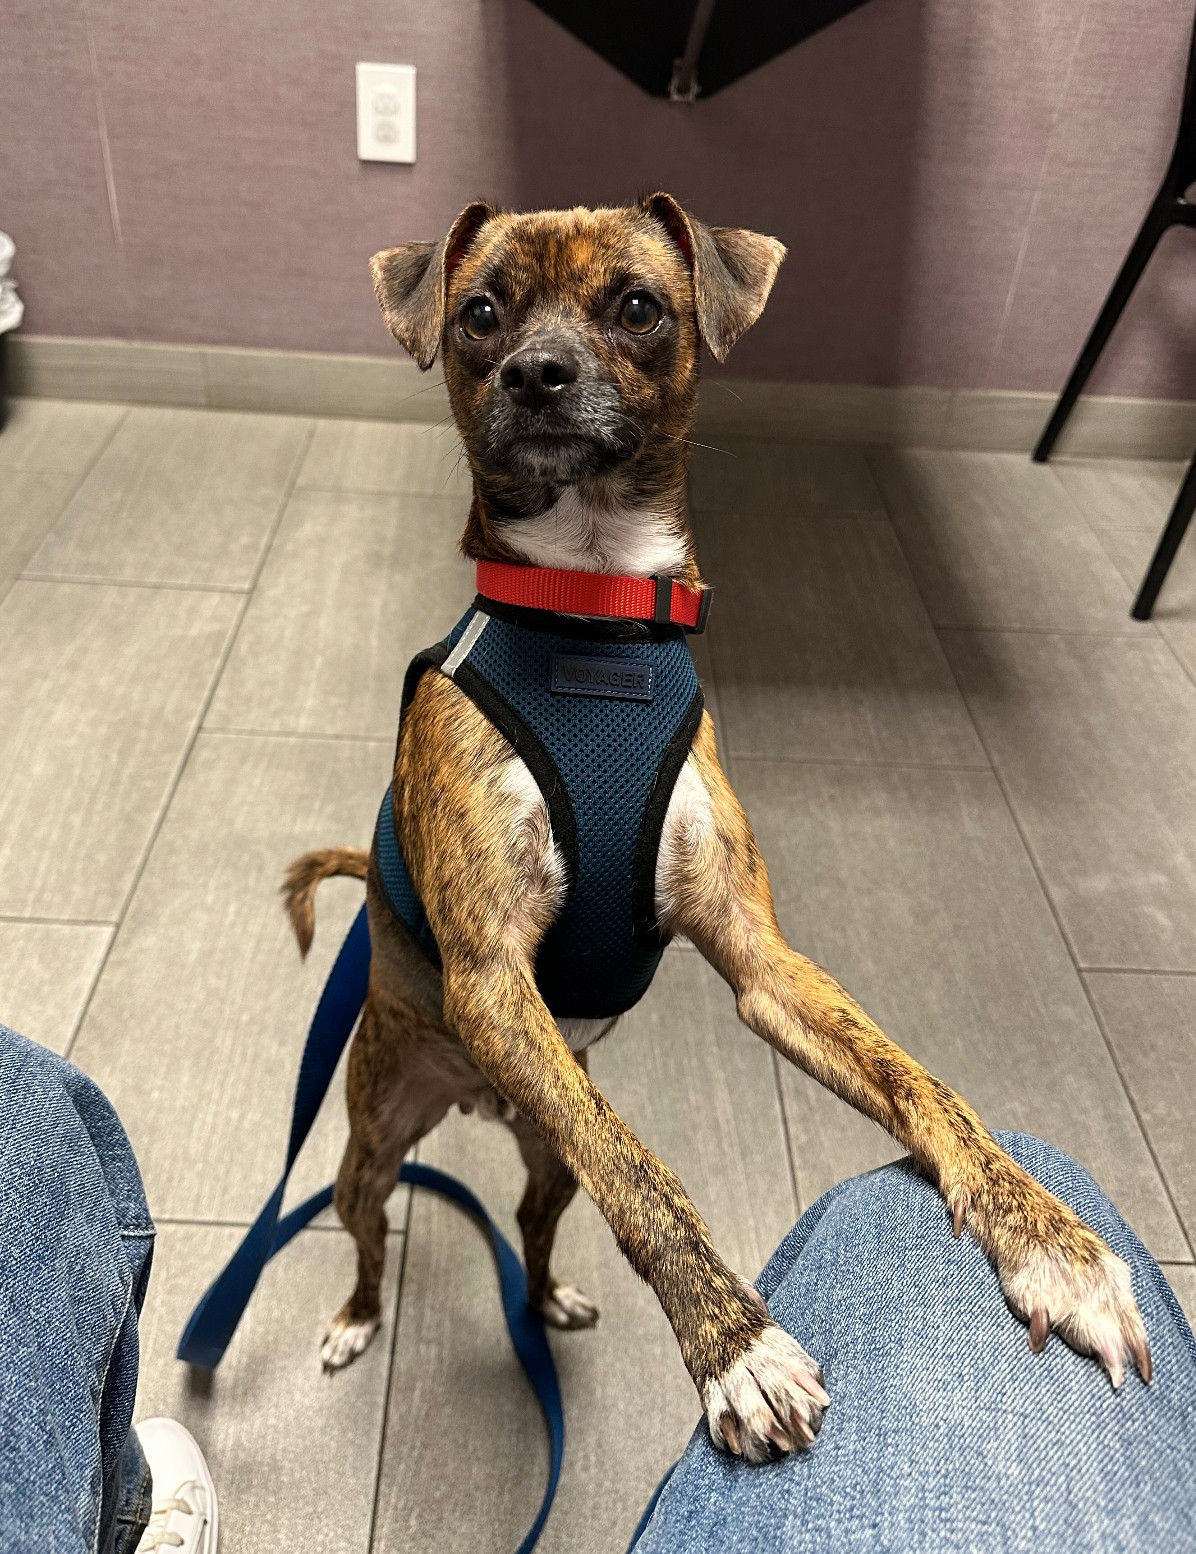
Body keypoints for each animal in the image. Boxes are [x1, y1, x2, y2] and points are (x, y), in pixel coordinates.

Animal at [284, 191, 1149, 1454]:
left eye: (639, 307)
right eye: (479, 315)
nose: (536, 373)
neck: (594, 617)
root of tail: (474, 1101)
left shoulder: (759, 959)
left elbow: (918, 1083)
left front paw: (1049, 1240)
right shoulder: (491, 981)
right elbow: (645, 1180)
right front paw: (734, 1348)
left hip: (542, 1149)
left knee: (537, 1220)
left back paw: (548, 1294)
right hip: (371, 1140)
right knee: (371, 1233)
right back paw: (353, 1319)